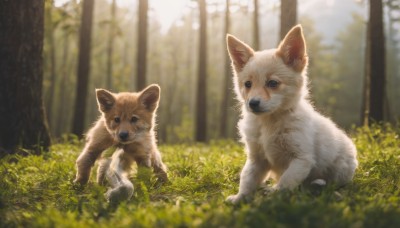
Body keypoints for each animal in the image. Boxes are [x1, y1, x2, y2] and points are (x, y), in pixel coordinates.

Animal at [225, 25, 360, 204]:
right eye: (248, 84)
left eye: (273, 83)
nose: (252, 103)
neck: (269, 122)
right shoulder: (256, 159)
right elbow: (247, 179)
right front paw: (240, 198)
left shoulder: (301, 159)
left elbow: (286, 182)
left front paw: (273, 199)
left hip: (341, 169)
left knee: (331, 183)